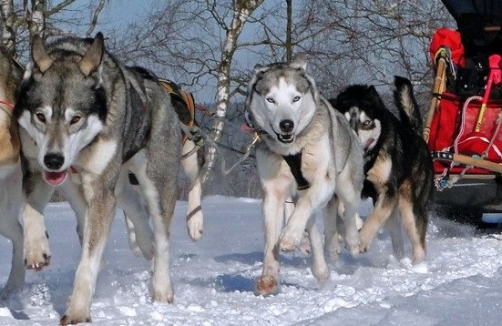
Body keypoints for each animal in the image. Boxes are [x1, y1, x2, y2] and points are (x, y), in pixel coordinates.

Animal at [14, 31, 182, 322]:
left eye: (75, 118)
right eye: (40, 116)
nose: (54, 159)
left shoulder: (101, 191)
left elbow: (88, 262)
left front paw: (78, 310)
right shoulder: (37, 169)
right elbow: (31, 207)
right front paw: (35, 248)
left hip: (154, 182)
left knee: (161, 237)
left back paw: (162, 288)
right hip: (111, 184)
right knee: (131, 206)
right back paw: (144, 243)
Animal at [244, 54, 364, 296]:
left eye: (296, 98)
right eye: (270, 100)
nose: (286, 124)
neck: (292, 151)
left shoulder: (322, 181)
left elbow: (306, 204)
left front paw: (289, 236)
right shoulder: (274, 191)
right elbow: (271, 236)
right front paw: (269, 276)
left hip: (346, 183)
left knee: (348, 211)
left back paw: (352, 241)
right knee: (318, 228)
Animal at [332, 76, 434, 264]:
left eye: (366, 123)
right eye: (344, 122)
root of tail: (416, 134)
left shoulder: (388, 189)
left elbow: (375, 217)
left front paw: (362, 239)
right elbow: (343, 208)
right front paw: (355, 225)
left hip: (409, 207)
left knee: (418, 243)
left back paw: (417, 265)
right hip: (393, 214)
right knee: (396, 234)